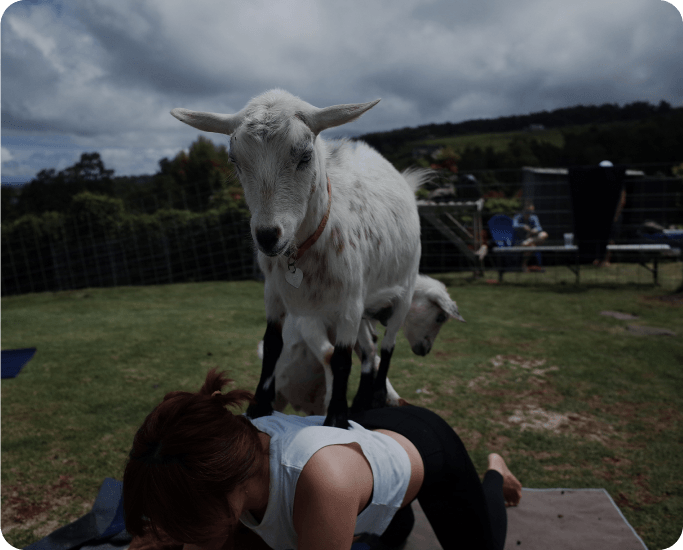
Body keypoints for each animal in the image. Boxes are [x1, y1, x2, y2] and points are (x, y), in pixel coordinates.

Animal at [171, 89, 424, 432]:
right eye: (235, 160)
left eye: (305, 156)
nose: (267, 236)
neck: (301, 254)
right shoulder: (274, 293)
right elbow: (272, 346)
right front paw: (258, 407)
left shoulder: (349, 301)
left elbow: (341, 359)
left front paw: (336, 419)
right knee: (370, 347)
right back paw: (360, 401)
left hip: (403, 288)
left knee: (387, 345)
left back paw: (372, 398)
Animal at [260, 276, 464, 418]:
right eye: (440, 317)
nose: (425, 350)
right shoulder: (310, 321)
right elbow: (329, 354)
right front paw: (333, 399)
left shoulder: (357, 331)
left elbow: (374, 358)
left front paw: (393, 399)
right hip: (278, 392)